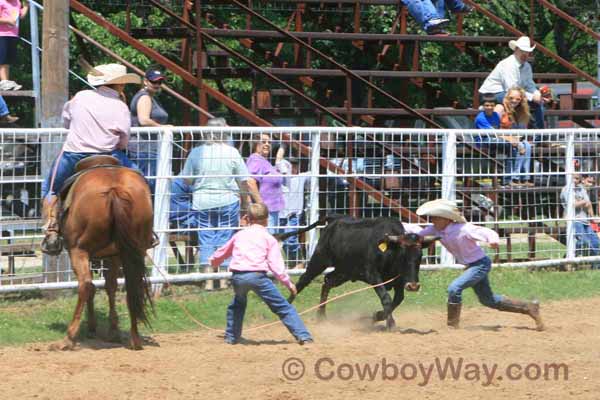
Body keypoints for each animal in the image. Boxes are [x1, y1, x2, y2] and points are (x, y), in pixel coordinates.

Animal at [44, 156, 155, 350]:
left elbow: (95, 287)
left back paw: (68, 338)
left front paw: (92, 327)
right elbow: (111, 286)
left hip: (78, 250)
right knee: (134, 286)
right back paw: (135, 339)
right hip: (135, 249)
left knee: (86, 285)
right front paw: (113, 331)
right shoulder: (114, 255)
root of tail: (115, 188)